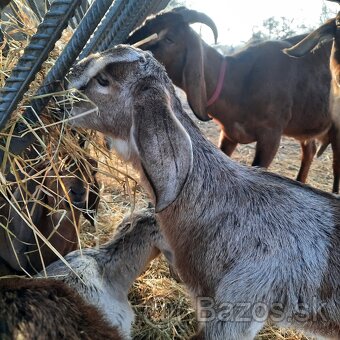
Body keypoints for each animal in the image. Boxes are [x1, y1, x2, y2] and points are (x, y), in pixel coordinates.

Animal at [127, 5, 338, 189]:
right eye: (146, 24)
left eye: (169, 38)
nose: (129, 46)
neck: (240, 80)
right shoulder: (228, 135)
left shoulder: (271, 136)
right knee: (309, 151)